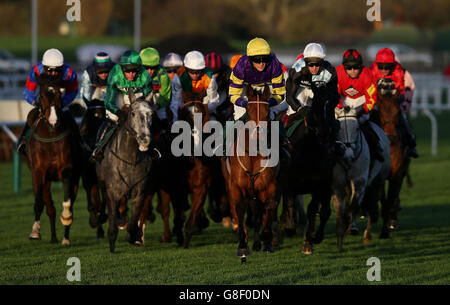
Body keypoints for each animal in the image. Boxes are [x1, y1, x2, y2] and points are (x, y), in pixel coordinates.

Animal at [25, 75, 81, 245]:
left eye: (60, 94)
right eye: (42, 95)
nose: (54, 121)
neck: (50, 135)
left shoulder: (67, 170)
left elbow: (67, 202)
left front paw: (66, 217)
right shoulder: (38, 172)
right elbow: (39, 203)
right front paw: (35, 232)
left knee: (70, 202)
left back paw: (65, 238)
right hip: (46, 180)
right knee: (49, 207)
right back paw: (54, 237)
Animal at [96, 92, 156, 252]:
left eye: (151, 114)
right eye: (133, 113)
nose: (145, 138)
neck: (130, 160)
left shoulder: (140, 192)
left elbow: (134, 221)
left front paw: (134, 237)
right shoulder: (112, 192)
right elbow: (112, 217)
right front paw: (112, 239)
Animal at [222, 84, 282, 260]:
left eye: (267, 113)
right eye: (248, 111)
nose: (258, 136)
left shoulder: (270, 187)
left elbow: (268, 208)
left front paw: (267, 243)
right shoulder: (236, 187)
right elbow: (239, 209)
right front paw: (242, 245)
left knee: (258, 212)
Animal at [370, 78, 412, 235]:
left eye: (397, 112)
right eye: (380, 111)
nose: (391, 138)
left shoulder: (398, 171)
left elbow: (393, 194)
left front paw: (391, 220)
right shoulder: (380, 173)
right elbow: (382, 195)